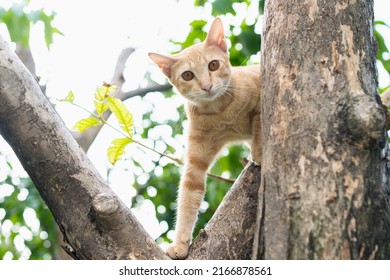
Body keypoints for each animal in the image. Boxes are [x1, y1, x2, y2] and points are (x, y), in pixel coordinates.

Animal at [149, 17, 262, 258]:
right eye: (188, 75)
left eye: (213, 65)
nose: (207, 86)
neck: (221, 111)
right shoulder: (197, 156)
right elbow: (188, 194)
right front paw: (180, 244)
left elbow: (259, 116)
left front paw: (258, 149)